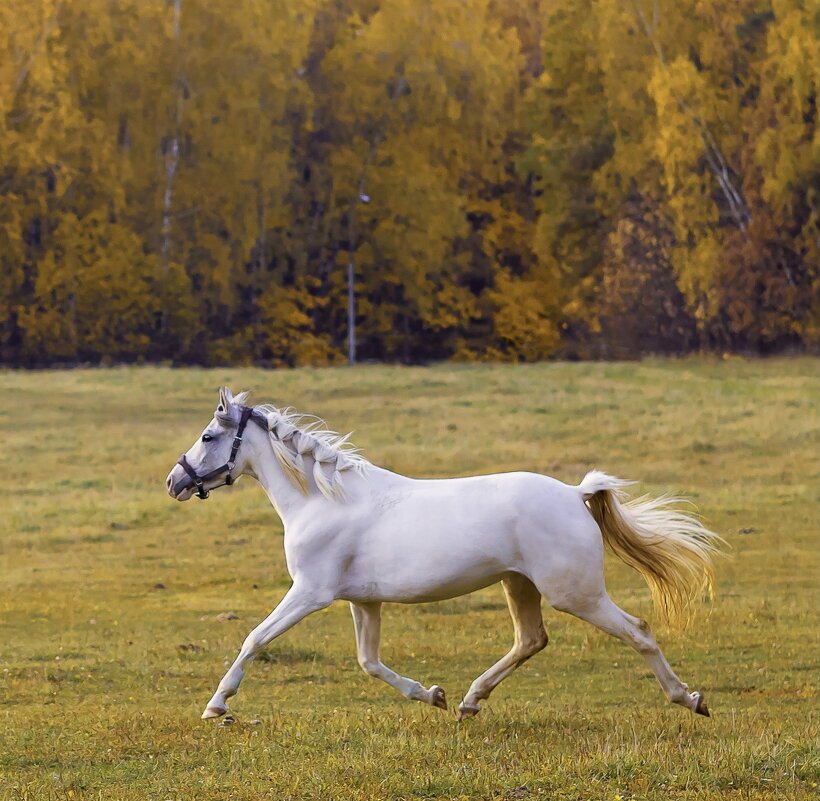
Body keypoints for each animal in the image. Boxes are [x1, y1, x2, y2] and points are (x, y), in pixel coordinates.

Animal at [167, 386, 724, 720]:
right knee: (531, 640)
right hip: (519, 584)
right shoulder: (363, 601)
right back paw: (468, 702)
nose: (175, 482)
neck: (324, 501)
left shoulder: (309, 593)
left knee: (639, 631)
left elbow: (254, 638)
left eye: (208, 435)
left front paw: (217, 706)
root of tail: (574, 494)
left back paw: (691, 699)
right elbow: (369, 662)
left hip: (576, 593)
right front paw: (431, 695)